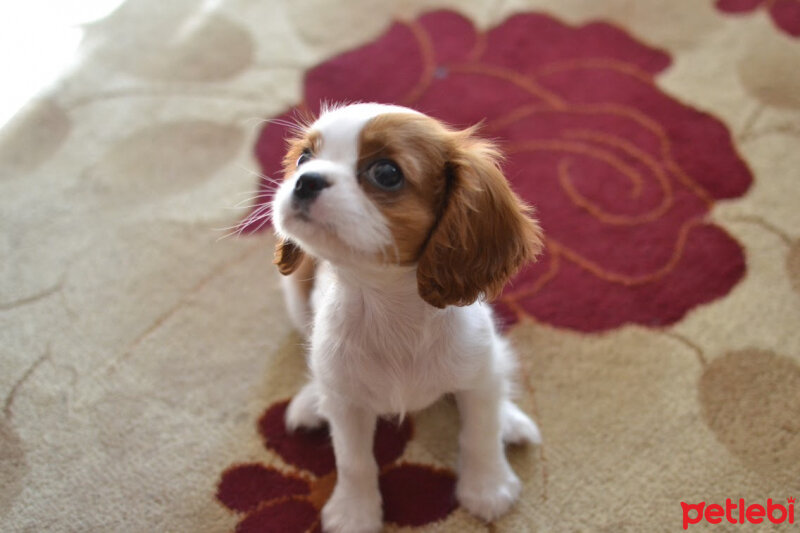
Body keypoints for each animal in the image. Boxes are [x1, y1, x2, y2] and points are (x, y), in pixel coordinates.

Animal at [270, 102, 544, 528]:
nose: (305, 181)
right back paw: (313, 399)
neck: (387, 304)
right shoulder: (347, 407)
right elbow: (353, 461)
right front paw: (355, 512)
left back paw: (511, 420)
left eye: (386, 173)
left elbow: (480, 432)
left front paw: (487, 487)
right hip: (296, 295)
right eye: (304, 158)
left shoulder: (478, 375)